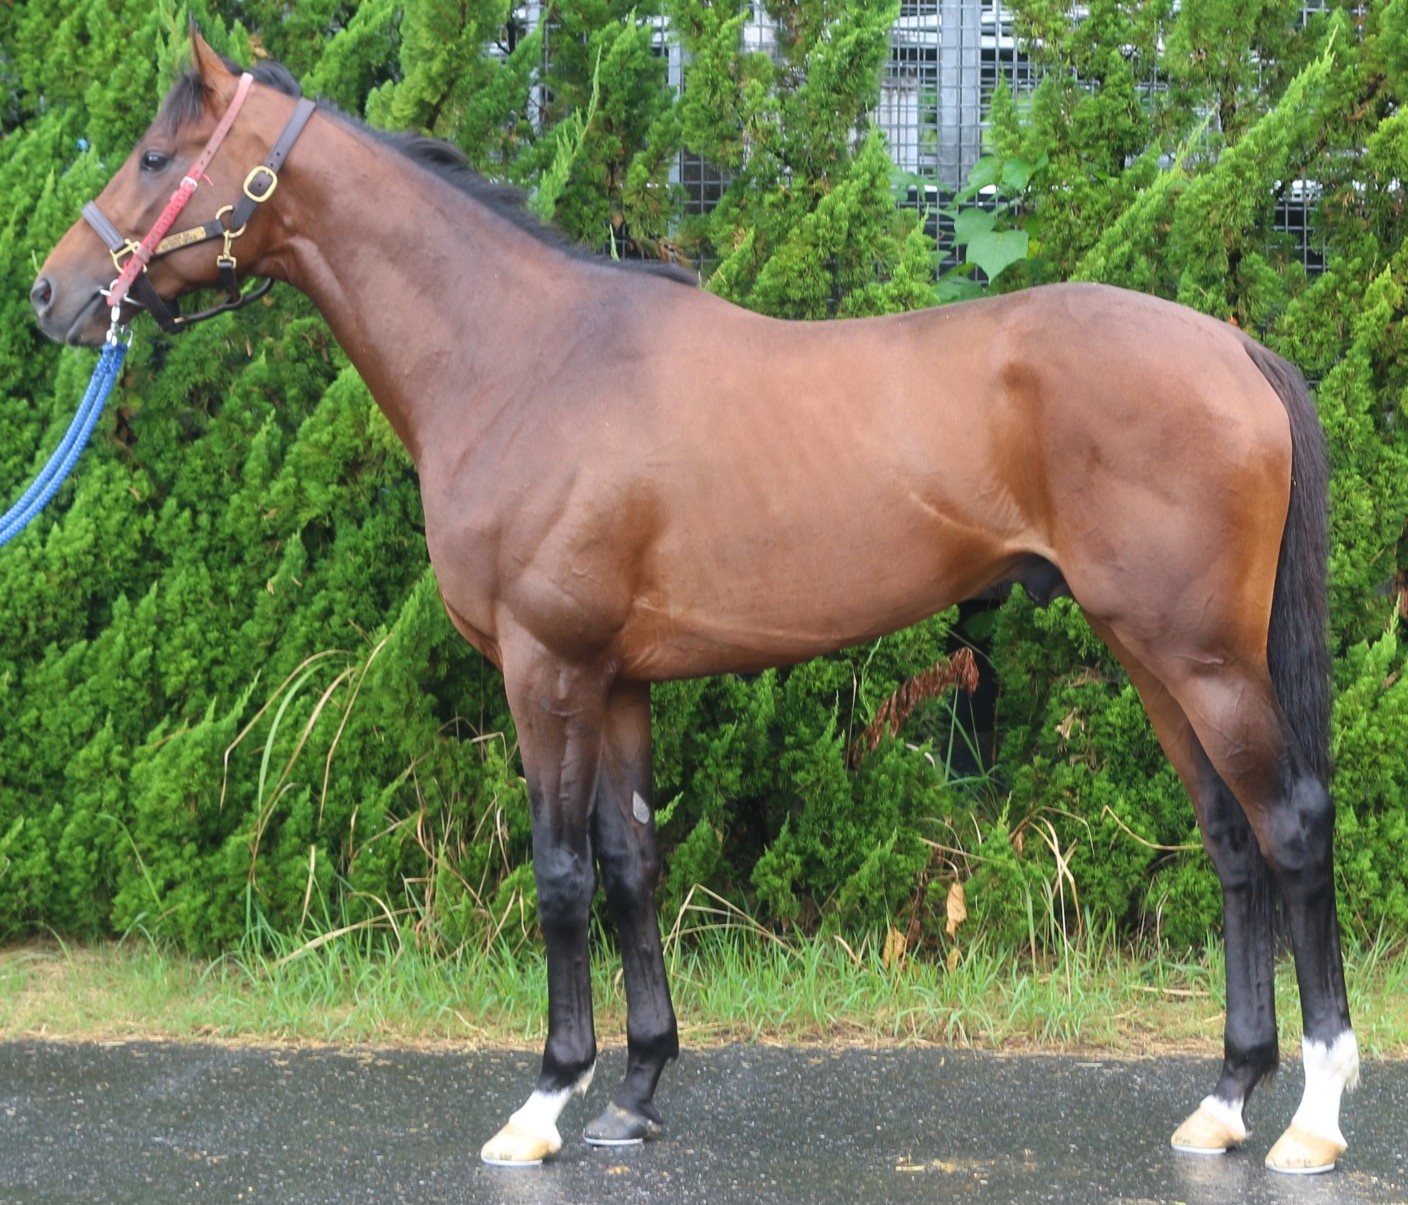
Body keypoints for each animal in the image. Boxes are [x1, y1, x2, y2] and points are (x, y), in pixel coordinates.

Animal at [31, 31, 1358, 1174]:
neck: (525, 358)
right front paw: (633, 1092)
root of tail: (1233, 348)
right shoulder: (615, 679)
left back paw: (1313, 1117)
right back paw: (1224, 1100)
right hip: (1152, 653)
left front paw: (543, 1100)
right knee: (1230, 840)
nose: (51, 294)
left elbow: (560, 873)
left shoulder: (545, 667)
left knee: (1290, 826)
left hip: (1201, 657)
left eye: (153, 157)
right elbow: (631, 865)